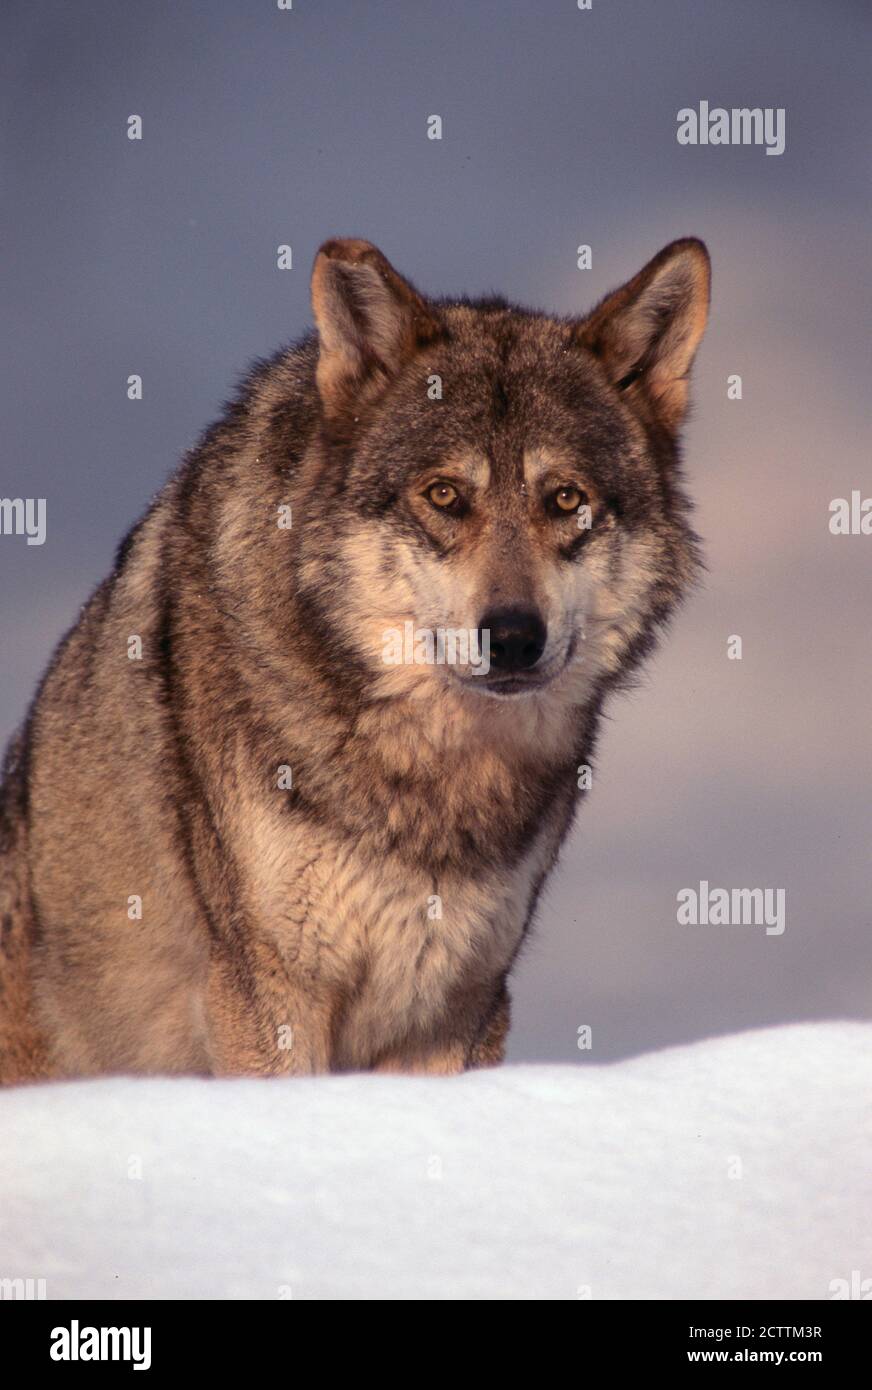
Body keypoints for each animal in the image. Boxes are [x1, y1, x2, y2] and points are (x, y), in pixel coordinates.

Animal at [0, 236, 709, 1082]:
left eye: (566, 500)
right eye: (444, 496)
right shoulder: (269, 993)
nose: (511, 637)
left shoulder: (459, 1006)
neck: (429, 777)